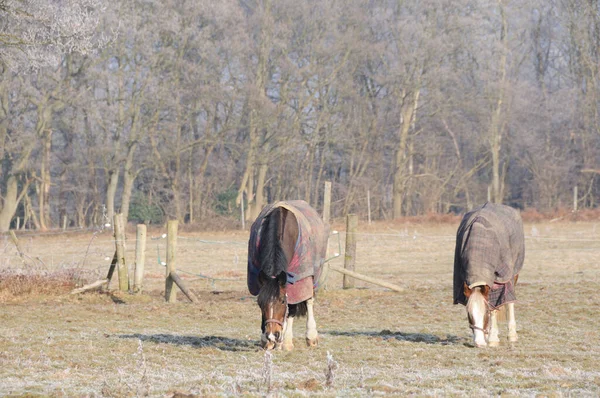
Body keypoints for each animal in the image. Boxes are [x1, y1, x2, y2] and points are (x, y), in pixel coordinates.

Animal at [247, 201, 330, 350]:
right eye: (260, 303)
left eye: (282, 301)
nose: (272, 335)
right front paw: (266, 340)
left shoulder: (296, 278)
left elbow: (291, 308)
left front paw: (286, 342)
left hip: (311, 277)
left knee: (308, 301)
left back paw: (310, 336)